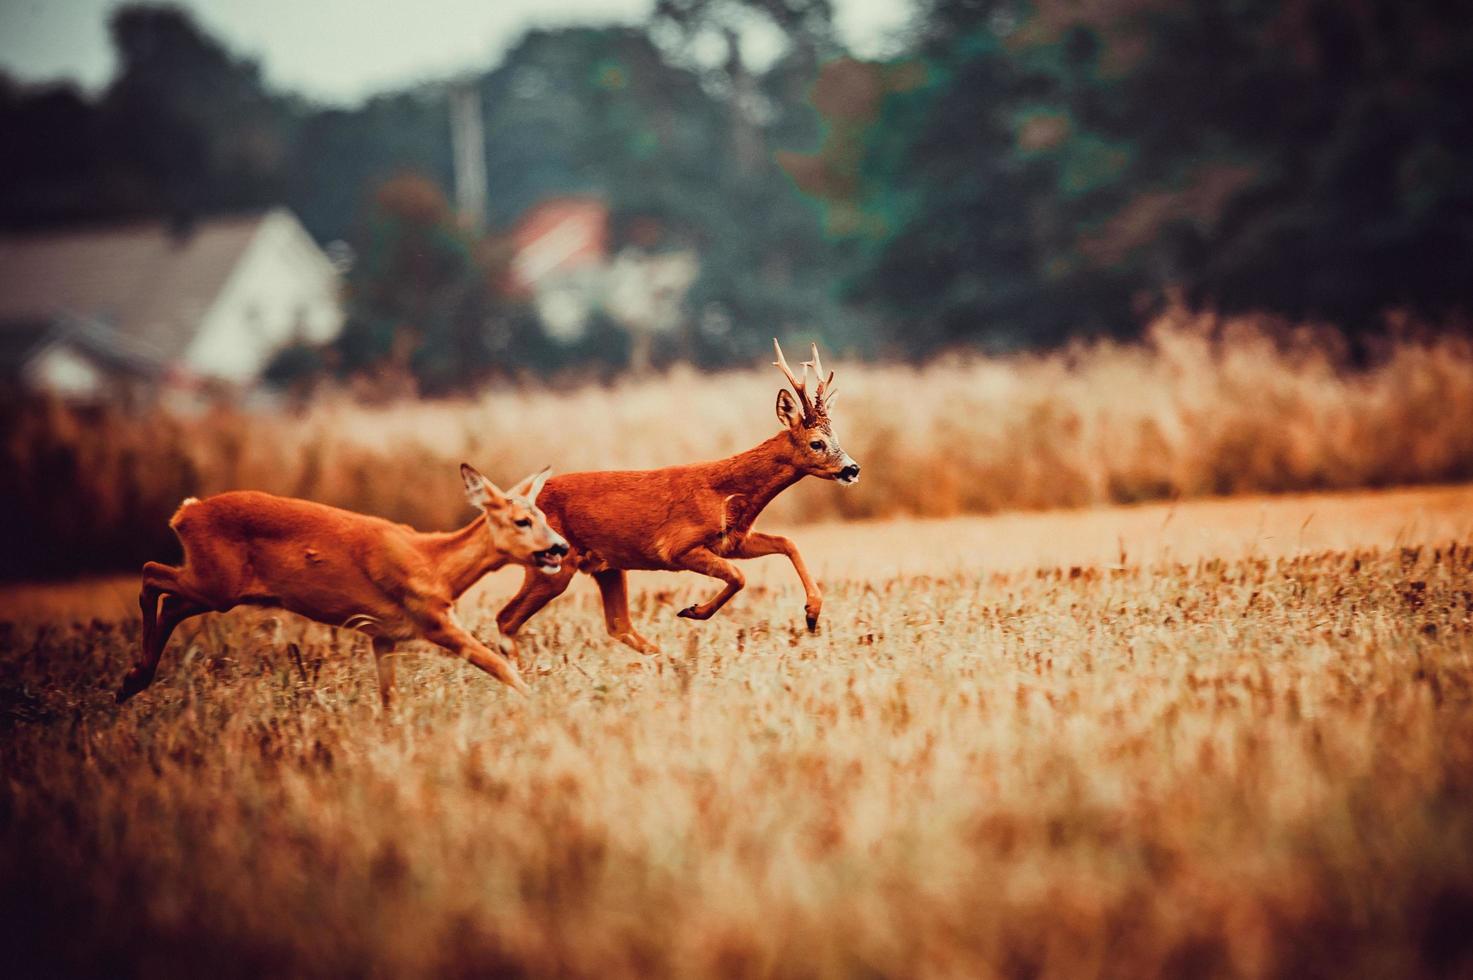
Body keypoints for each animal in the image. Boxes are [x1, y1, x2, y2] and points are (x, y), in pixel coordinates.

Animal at [116, 465, 568, 704]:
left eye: (543, 517)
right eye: (522, 521)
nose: (560, 546)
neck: (433, 563)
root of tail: (184, 514)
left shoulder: (383, 635)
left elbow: (389, 698)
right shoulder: (432, 618)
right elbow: (497, 664)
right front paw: (538, 703)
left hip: (217, 587)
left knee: (169, 599)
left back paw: (133, 681)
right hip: (215, 582)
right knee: (150, 572)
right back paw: (132, 680)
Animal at [500, 338, 860, 657]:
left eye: (837, 437)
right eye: (816, 443)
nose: (852, 469)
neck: (725, 494)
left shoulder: (734, 541)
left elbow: (787, 542)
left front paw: (812, 614)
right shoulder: (677, 546)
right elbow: (739, 576)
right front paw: (693, 611)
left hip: (605, 565)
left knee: (617, 625)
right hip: (554, 564)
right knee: (507, 618)